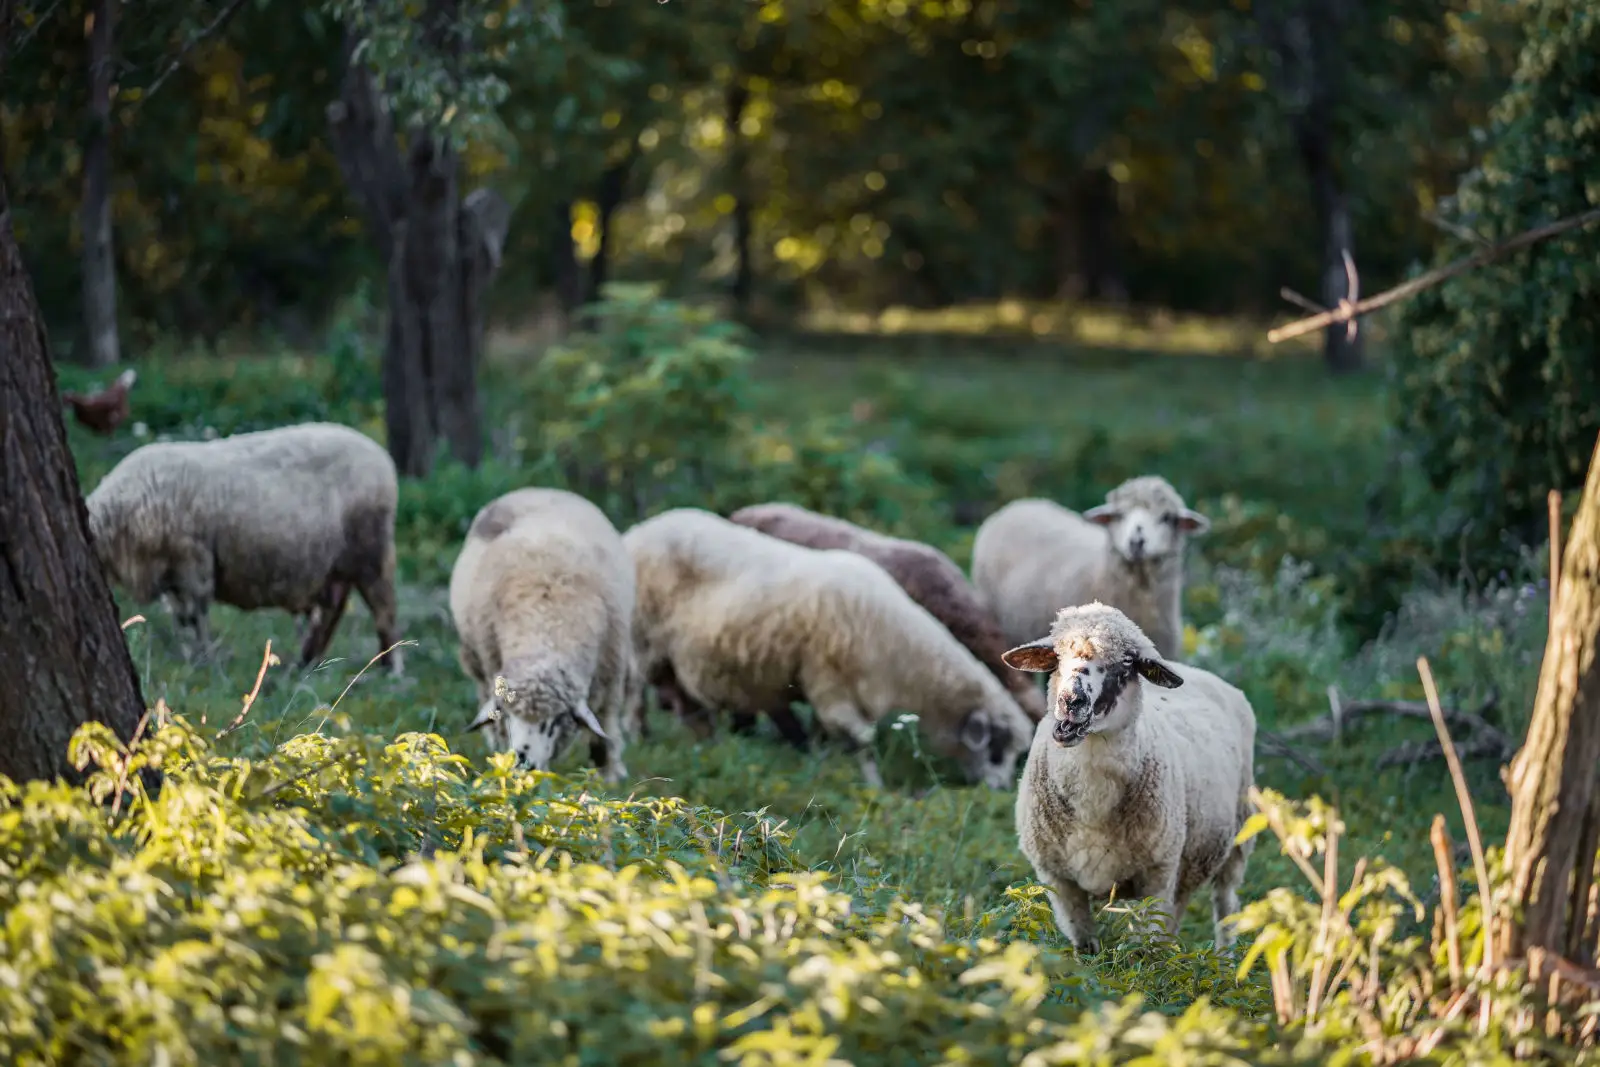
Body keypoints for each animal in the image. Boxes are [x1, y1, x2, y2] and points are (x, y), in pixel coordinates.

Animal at [85, 421, 403, 675]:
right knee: (330, 612)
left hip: (371, 550)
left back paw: (391, 668)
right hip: (337, 564)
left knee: (383, 609)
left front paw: (203, 661)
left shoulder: (192, 561)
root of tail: (382, 457)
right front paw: (192, 657)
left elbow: (194, 617)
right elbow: (182, 619)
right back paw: (307, 663)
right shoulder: (172, 574)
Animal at [448, 487, 639, 782]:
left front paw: (609, 775)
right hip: (475, 661)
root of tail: (535, 489)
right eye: (508, 715)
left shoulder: (611, 678)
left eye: (555, 722)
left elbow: (604, 733)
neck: (544, 627)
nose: (524, 764)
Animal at [624, 507, 1034, 789]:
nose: (1000, 790)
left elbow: (830, 734)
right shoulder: (828, 684)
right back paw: (643, 736)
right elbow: (860, 741)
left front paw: (822, 760)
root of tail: (644, 528)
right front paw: (872, 786)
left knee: (689, 700)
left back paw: (711, 739)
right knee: (639, 695)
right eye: (997, 751)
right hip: (643, 639)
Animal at [1003, 601, 1255, 953]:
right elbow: (1086, 947)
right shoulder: (1058, 880)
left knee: (1226, 905)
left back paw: (1226, 957)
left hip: (1238, 837)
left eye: (1125, 664)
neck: (1092, 803)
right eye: (1057, 655)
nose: (1071, 701)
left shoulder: (1155, 875)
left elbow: (1142, 949)